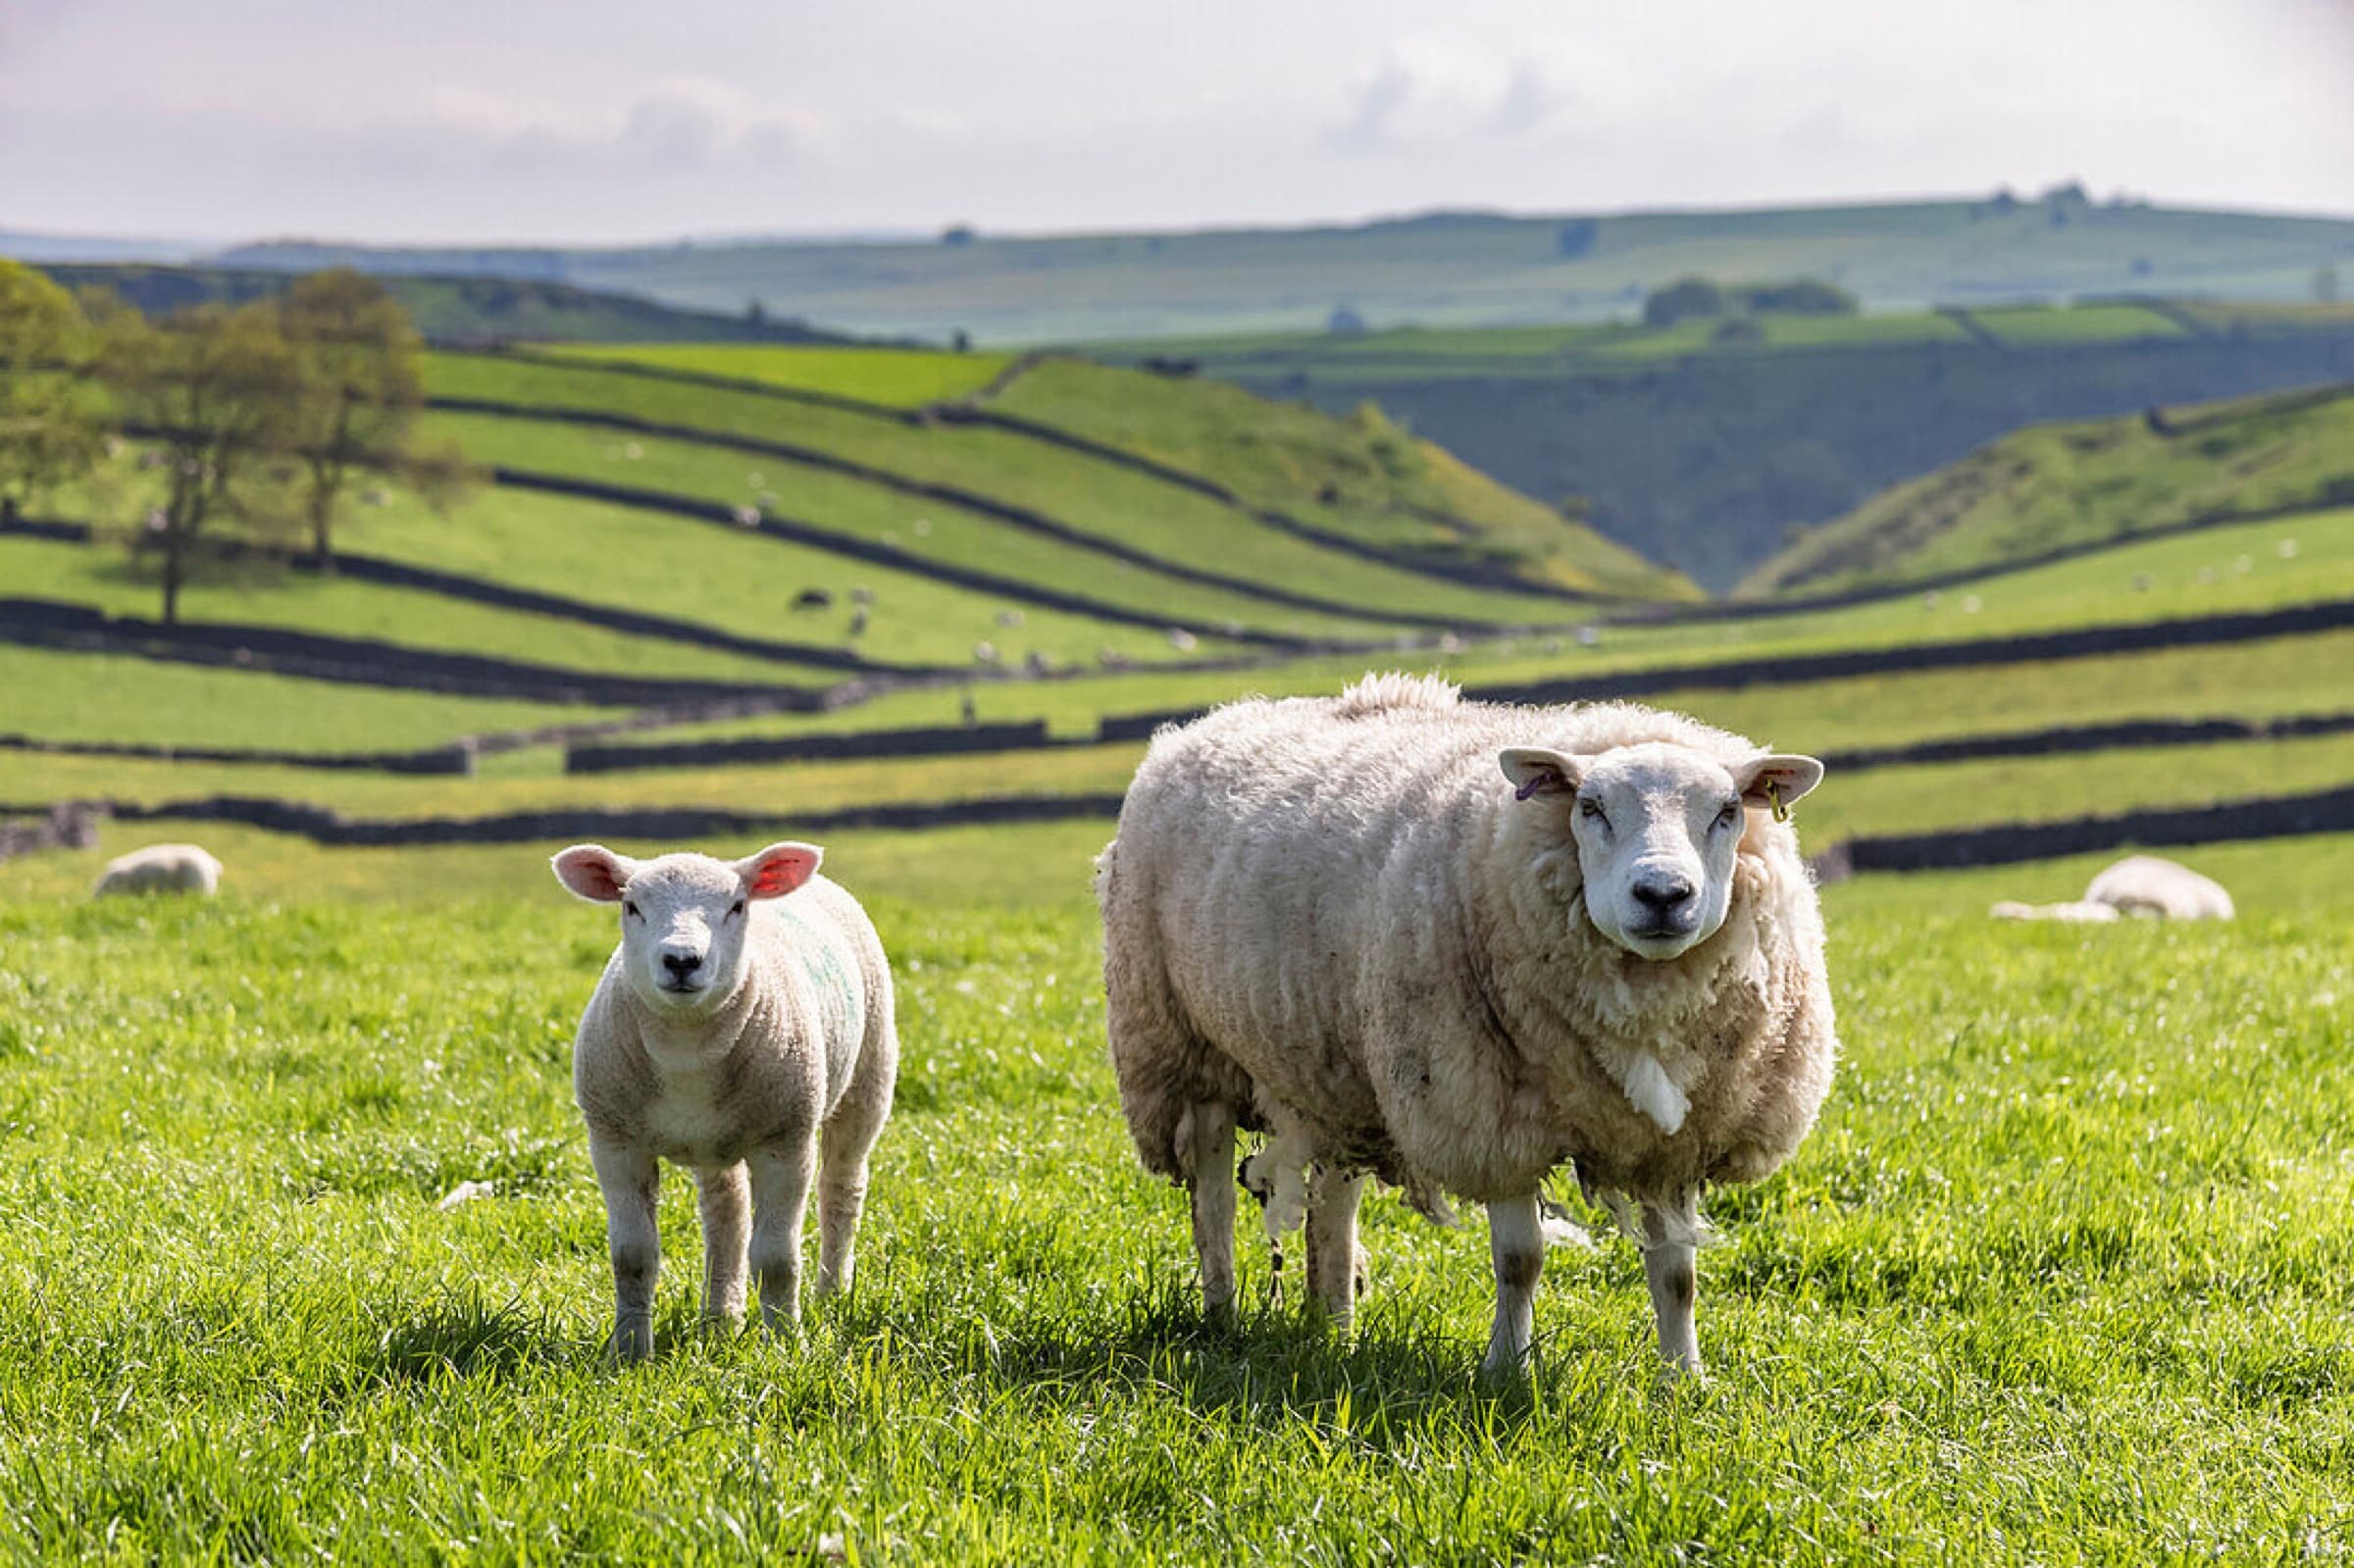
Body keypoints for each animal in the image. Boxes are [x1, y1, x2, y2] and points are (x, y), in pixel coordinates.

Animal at [552, 840, 898, 1361]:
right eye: (631, 906)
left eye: (736, 907)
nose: (681, 960)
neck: (687, 1049)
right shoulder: (614, 1141)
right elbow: (633, 1256)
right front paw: (630, 1353)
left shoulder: (785, 1140)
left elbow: (776, 1258)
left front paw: (786, 1348)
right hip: (714, 1142)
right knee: (726, 1215)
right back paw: (721, 1319)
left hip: (868, 1077)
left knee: (842, 1189)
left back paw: (832, 1294)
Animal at [1098, 672, 1836, 1379]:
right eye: (1589, 807)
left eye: (1728, 811)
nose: (1662, 894)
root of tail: (1203, 722)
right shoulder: (1490, 1116)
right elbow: (1520, 1260)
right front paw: (1505, 1370)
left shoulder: (1673, 1141)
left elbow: (1677, 1274)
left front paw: (1683, 1377)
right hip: (1179, 1047)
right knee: (1214, 1200)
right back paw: (1221, 1314)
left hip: (1337, 1072)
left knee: (1332, 1206)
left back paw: (1333, 1327)